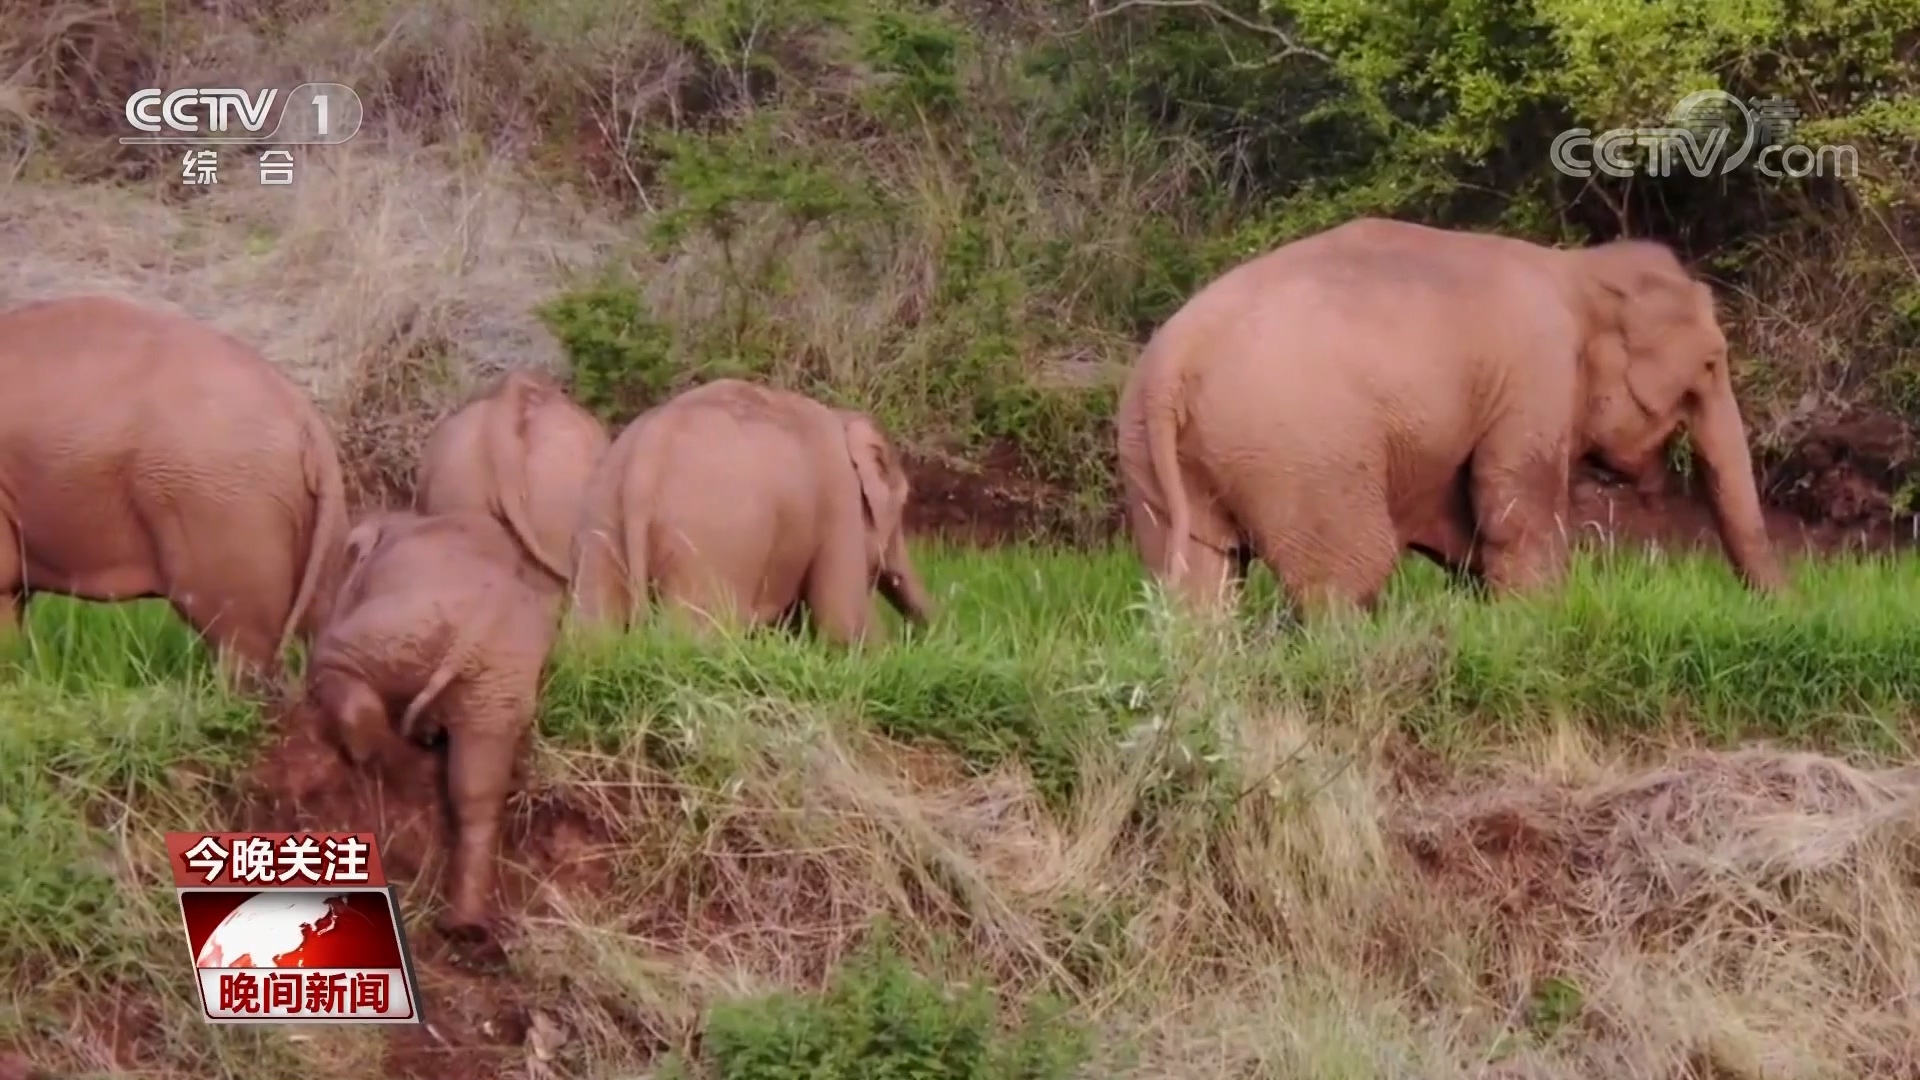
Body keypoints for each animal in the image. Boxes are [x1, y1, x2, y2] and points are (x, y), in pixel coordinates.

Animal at [295, 507, 560, 937]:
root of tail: (477, 630)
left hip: (397, 633)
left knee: (339, 672)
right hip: (498, 683)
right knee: (477, 785)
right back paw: (464, 928)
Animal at [564, 378, 933, 641]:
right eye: (903, 504)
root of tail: (644, 459)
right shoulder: (839, 498)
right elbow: (843, 618)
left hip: (602, 520)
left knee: (595, 629)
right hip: (713, 541)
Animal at [1121, 216, 1789, 614]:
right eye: (1712, 364)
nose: (1782, 610)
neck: (1579, 269)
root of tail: (1171, 367)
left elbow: (1467, 529)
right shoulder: (1536, 376)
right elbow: (1514, 511)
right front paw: (1536, 621)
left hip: (1155, 463)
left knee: (1200, 583)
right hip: (1302, 459)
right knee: (1347, 576)